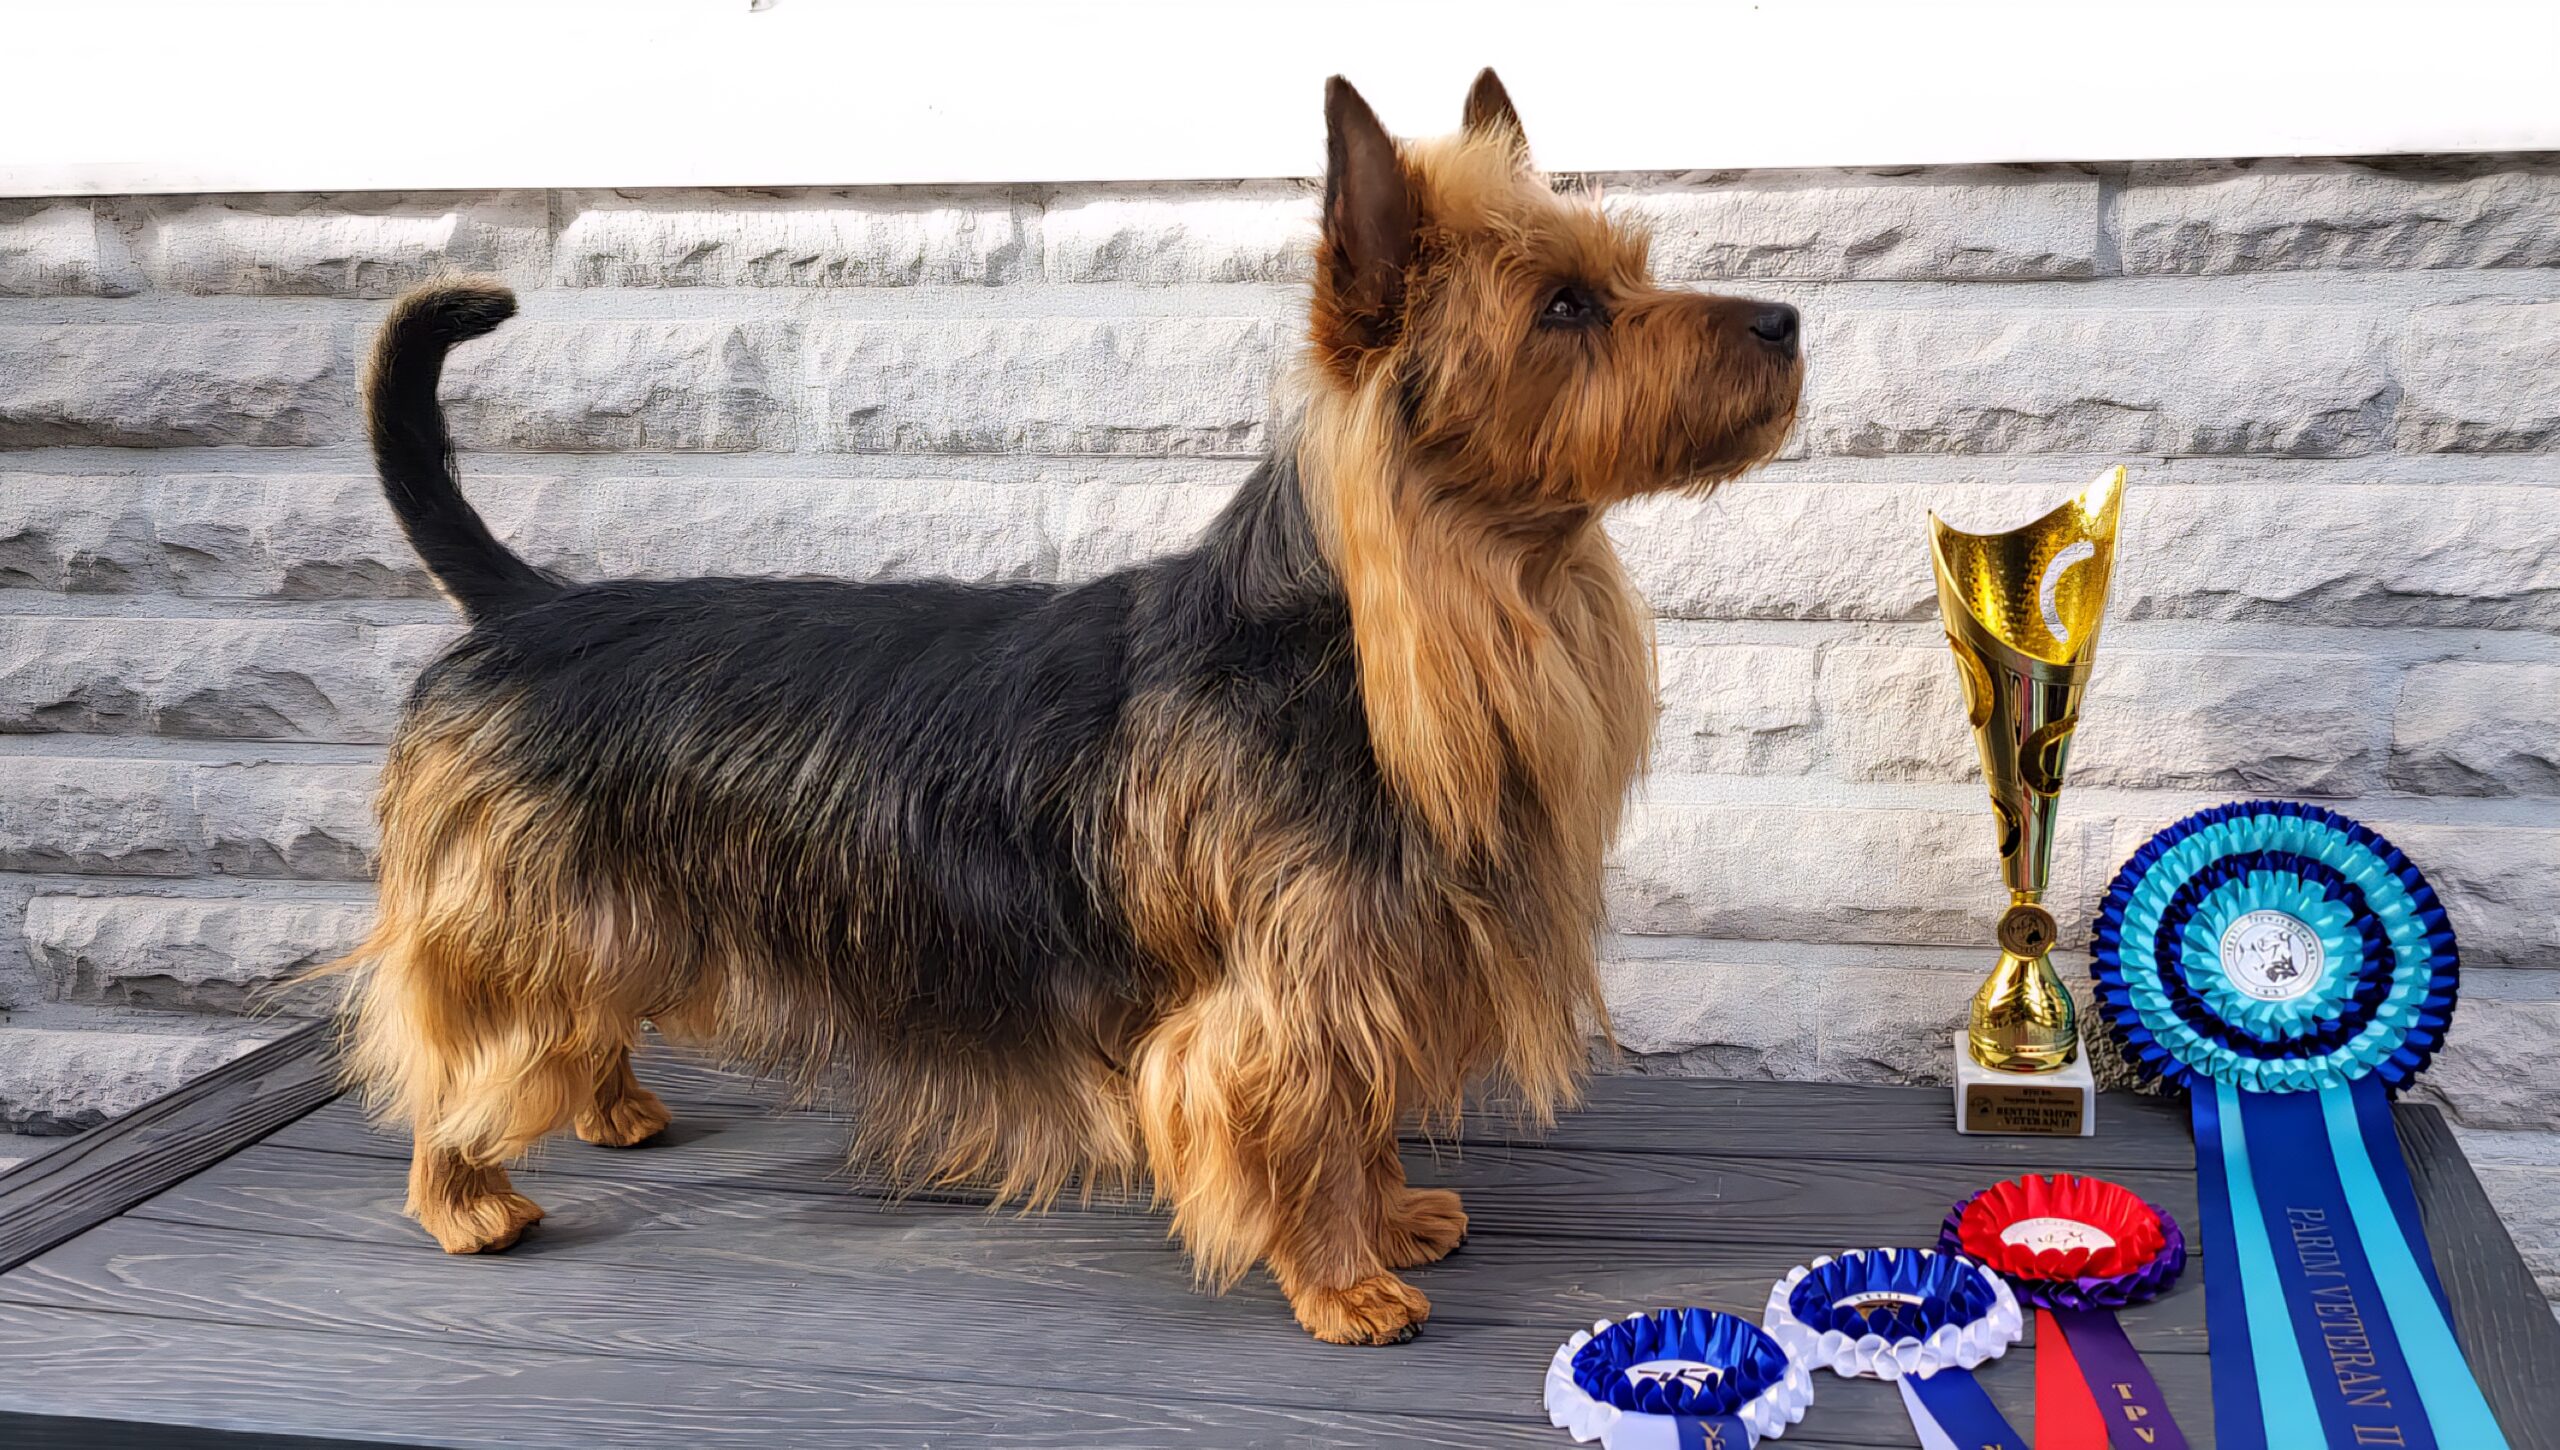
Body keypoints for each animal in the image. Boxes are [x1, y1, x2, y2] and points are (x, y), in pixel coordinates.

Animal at [320, 69, 1802, 1346]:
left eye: (1630, 269)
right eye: (1564, 308)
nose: (1787, 321)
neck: (1358, 634)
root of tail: (522, 607)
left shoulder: (1358, 957)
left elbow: (1360, 1113)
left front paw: (1391, 1219)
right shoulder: (1278, 991)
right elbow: (1307, 1128)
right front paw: (1342, 1278)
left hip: (611, 910)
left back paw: (614, 1108)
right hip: (518, 914)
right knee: (463, 1060)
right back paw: (465, 1200)